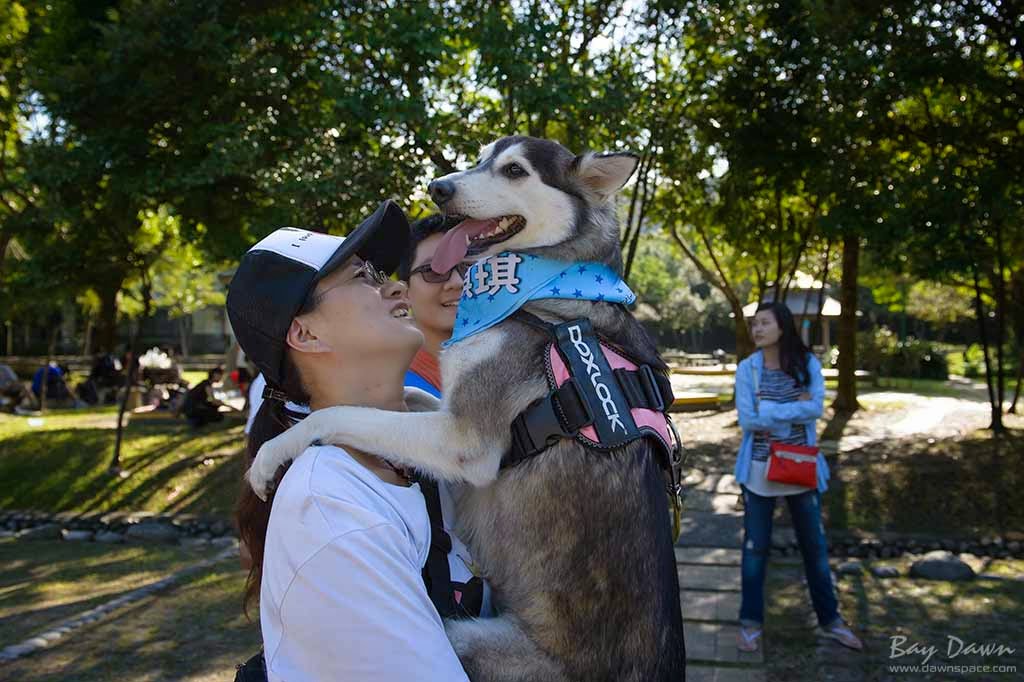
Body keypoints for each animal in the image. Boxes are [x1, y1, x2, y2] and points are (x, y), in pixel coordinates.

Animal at [244, 135, 684, 675]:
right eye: (478, 158)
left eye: (514, 171)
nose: (438, 187)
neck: (539, 291)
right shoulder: (445, 411)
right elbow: (409, 398)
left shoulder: (463, 442)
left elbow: (343, 413)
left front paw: (275, 450)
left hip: (465, 637)